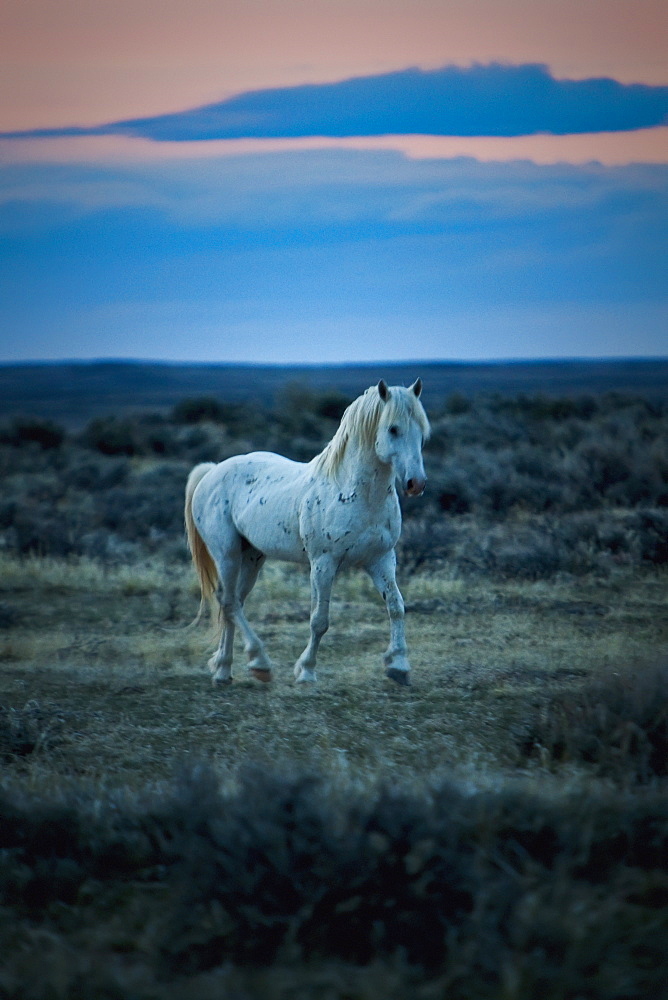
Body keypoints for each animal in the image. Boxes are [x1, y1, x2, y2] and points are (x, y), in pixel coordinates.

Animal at [185, 378, 430, 684]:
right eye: (393, 429)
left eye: (422, 431)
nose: (416, 483)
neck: (354, 492)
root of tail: (212, 471)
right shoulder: (323, 564)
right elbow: (319, 620)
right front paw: (306, 671)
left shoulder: (381, 560)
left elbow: (396, 607)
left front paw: (398, 665)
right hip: (226, 554)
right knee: (228, 602)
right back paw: (258, 661)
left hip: (252, 557)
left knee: (233, 603)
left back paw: (224, 669)